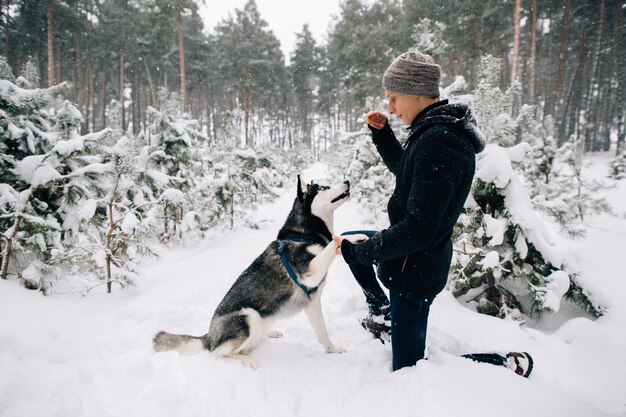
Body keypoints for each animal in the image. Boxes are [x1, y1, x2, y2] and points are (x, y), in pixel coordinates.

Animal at [153, 175, 366, 368]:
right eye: (323, 187)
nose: (347, 181)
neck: (303, 235)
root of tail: (209, 336)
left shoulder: (312, 302)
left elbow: (322, 331)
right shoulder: (310, 273)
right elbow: (334, 242)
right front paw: (352, 237)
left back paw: (268, 333)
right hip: (248, 315)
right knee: (220, 353)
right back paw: (247, 360)